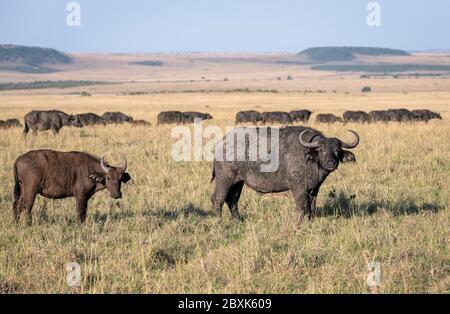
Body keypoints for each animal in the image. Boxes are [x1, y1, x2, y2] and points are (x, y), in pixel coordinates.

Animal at [210, 126, 358, 220]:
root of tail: (221, 143)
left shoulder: (314, 189)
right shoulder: (298, 189)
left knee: (232, 200)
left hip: (238, 183)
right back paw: (219, 221)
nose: (331, 163)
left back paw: (238, 220)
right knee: (217, 199)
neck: (310, 160)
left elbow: (312, 207)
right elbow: (303, 207)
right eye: (322, 150)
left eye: (337, 151)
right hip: (225, 180)